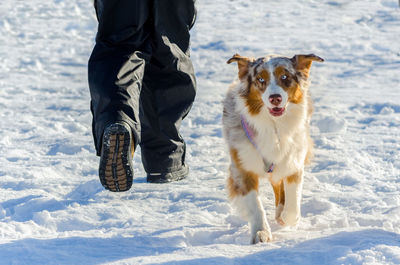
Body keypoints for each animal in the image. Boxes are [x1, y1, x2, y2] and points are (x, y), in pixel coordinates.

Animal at [223, 52, 324, 242]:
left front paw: (284, 217)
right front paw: (260, 232)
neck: (274, 126)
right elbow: (255, 205)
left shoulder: (293, 162)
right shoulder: (242, 168)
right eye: (260, 79)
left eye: (284, 77)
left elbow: (292, 202)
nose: (274, 98)